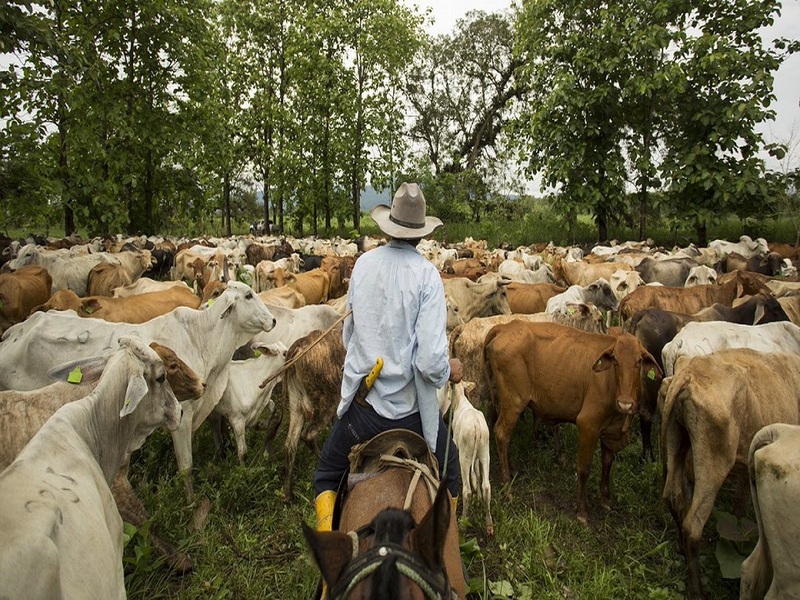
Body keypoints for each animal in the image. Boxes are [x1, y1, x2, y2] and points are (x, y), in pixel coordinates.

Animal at [484, 322, 660, 524]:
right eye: (615, 361)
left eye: (639, 362)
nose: (625, 403)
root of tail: (506, 326)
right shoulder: (587, 425)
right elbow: (584, 469)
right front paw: (581, 511)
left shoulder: (610, 432)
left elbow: (607, 464)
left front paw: (605, 500)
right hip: (514, 402)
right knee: (501, 434)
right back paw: (507, 488)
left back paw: (512, 470)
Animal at [664, 350, 800, 596]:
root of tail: (689, 373)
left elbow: (739, 503)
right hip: (713, 464)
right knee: (693, 526)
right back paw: (697, 591)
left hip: (677, 438)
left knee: (674, 496)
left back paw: (680, 547)